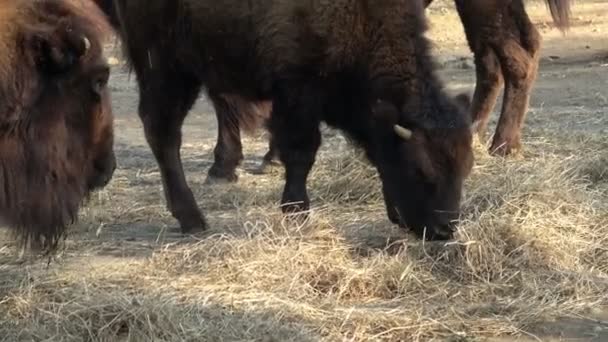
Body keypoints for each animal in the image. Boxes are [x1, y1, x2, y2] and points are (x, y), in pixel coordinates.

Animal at [95, 0, 476, 240]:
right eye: (421, 169)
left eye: (465, 170)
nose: (444, 231)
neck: (362, 19)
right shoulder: (296, 94)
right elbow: (301, 152)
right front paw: (296, 210)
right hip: (167, 64)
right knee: (163, 131)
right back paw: (192, 218)